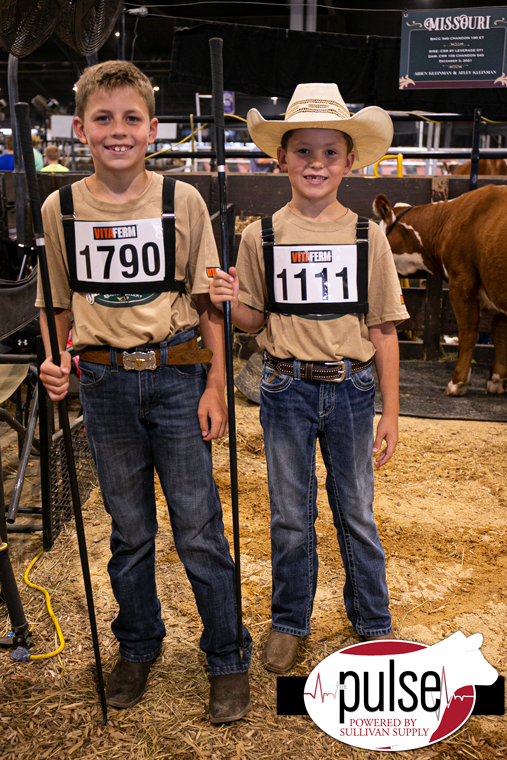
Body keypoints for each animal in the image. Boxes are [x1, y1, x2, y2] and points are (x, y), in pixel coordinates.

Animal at [374, 186, 507, 394]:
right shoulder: (495, 285)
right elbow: (500, 333)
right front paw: (496, 380)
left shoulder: (461, 284)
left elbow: (468, 333)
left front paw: (458, 382)